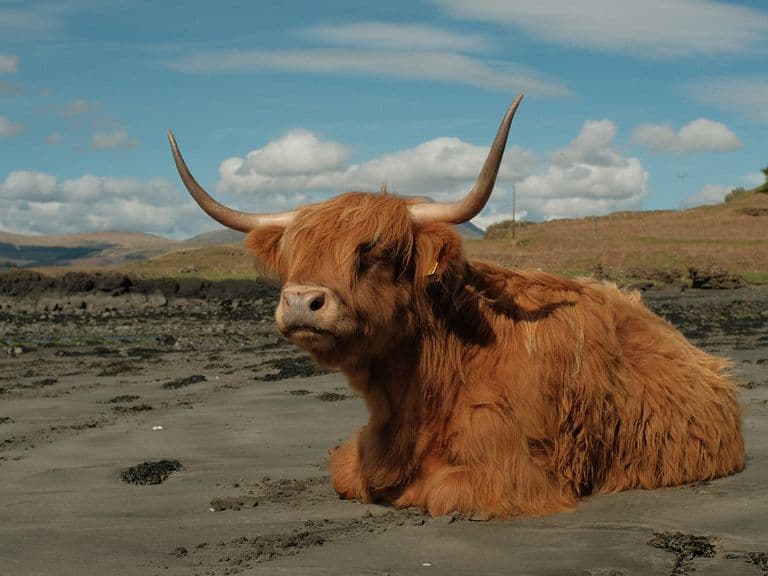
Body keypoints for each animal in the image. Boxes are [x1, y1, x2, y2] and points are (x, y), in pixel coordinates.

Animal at [167, 94, 744, 518]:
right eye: (294, 255)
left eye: (375, 252)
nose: (301, 302)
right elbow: (345, 473)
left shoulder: (511, 474)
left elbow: (436, 492)